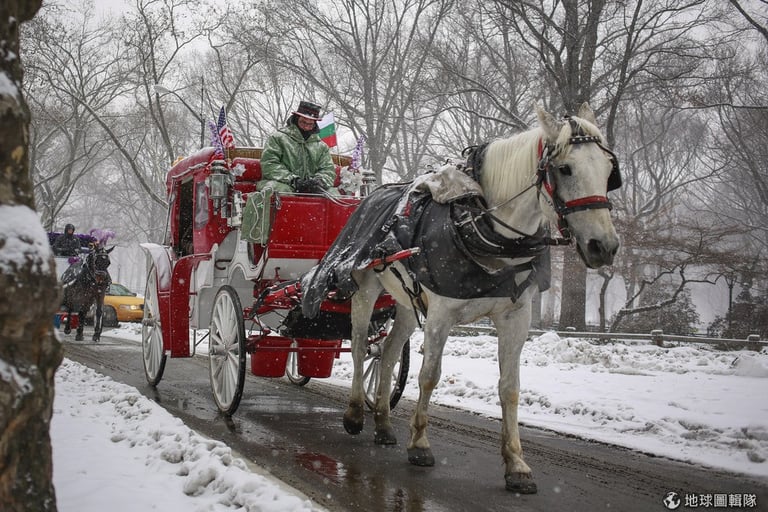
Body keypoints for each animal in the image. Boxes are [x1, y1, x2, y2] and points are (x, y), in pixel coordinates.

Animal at [304, 103, 620, 492]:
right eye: (565, 168)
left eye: (608, 170)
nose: (603, 246)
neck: (483, 229)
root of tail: (369, 195)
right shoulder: (441, 314)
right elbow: (430, 375)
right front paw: (420, 444)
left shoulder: (516, 317)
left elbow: (510, 387)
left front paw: (516, 464)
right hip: (365, 290)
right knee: (362, 346)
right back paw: (354, 414)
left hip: (406, 304)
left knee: (388, 353)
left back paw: (383, 423)